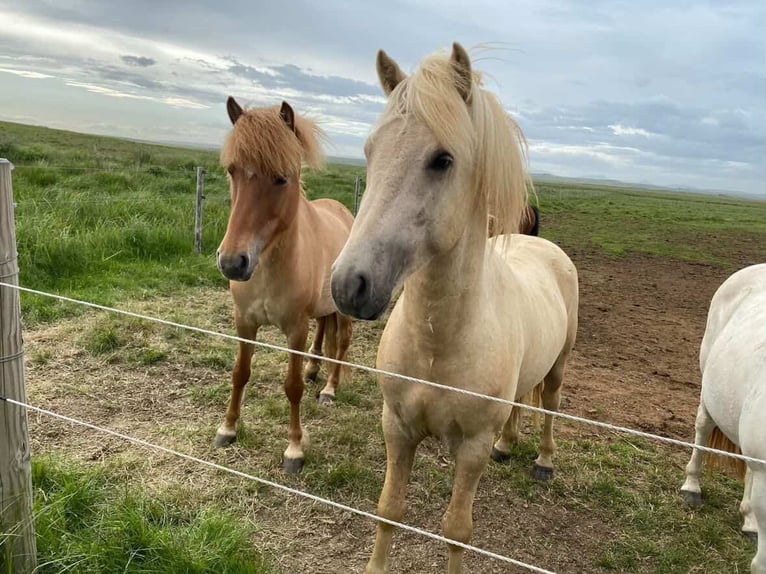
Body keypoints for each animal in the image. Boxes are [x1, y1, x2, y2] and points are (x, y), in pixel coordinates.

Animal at [214, 96, 354, 473]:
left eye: (281, 178)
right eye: (232, 170)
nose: (233, 262)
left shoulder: (295, 329)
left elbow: (292, 387)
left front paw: (294, 449)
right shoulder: (245, 322)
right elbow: (240, 373)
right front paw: (228, 428)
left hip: (343, 311)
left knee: (341, 344)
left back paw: (329, 389)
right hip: (322, 309)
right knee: (325, 331)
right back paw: (313, 369)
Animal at [330, 43, 579, 573]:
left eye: (443, 159)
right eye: (370, 151)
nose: (347, 285)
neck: (439, 340)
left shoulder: (471, 448)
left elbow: (456, 531)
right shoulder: (398, 428)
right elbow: (389, 510)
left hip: (559, 367)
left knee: (549, 404)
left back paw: (544, 461)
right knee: (521, 404)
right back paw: (509, 445)